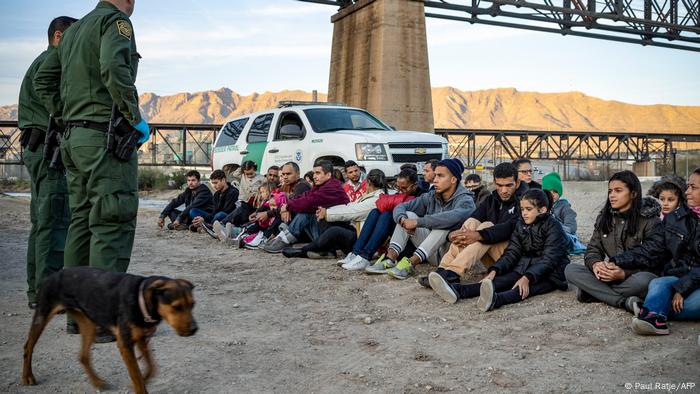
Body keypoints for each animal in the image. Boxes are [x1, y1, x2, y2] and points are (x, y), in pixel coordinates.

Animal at [21, 266, 197, 392]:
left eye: (192, 305)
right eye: (176, 307)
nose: (194, 329)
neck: (140, 298)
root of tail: (52, 275)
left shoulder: (141, 338)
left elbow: (151, 367)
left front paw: (144, 379)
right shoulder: (125, 344)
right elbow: (137, 377)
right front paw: (140, 385)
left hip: (88, 325)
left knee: (83, 356)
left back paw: (98, 382)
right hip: (42, 316)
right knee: (28, 346)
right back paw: (27, 377)